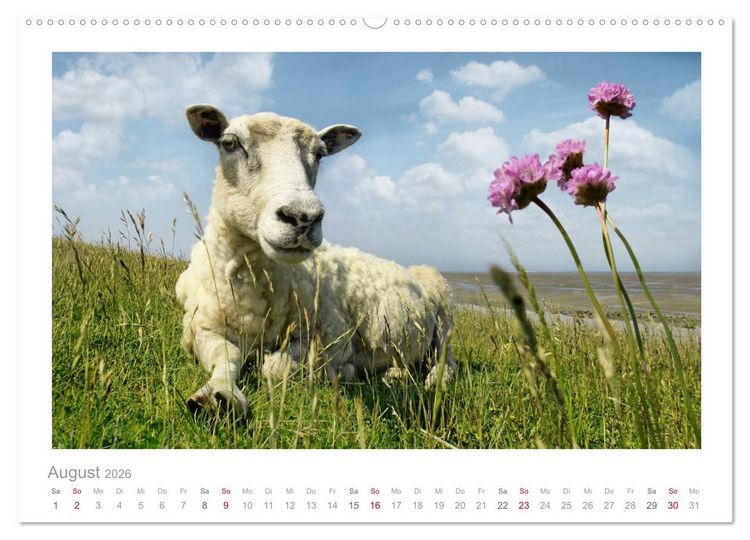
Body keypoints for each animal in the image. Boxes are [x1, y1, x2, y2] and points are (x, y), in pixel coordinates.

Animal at [176, 105, 457, 416]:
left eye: (320, 154)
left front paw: (342, 372)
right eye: (230, 143)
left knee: (447, 361)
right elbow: (227, 356)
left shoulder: (331, 337)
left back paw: (432, 379)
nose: (304, 216)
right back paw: (394, 374)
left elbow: (275, 367)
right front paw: (219, 395)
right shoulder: (201, 328)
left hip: (445, 320)